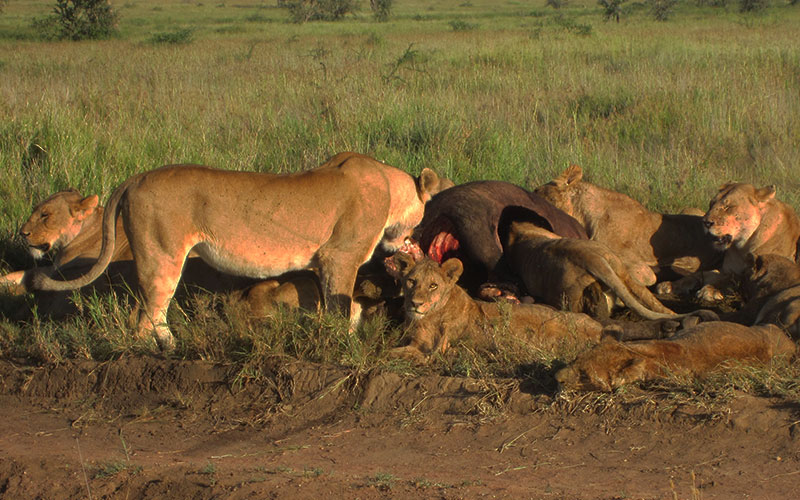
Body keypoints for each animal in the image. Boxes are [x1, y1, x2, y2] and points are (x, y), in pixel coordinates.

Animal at [32, 152, 444, 348]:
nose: (419, 237)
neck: (389, 184)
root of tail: (135, 178)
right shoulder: (339, 257)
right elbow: (340, 309)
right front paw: (341, 345)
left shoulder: (322, 263)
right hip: (162, 255)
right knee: (148, 317)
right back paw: (169, 350)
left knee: (143, 312)